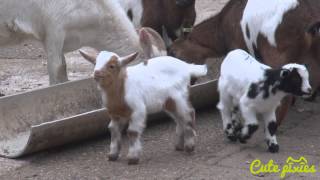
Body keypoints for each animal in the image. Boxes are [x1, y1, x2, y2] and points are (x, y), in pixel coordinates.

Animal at [80, 48, 208, 165]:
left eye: (112, 66)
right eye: (95, 63)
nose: (96, 73)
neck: (121, 87)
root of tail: (186, 66)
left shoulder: (138, 110)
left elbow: (132, 132)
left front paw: (133, 158)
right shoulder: (115, 114)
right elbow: (113, 130)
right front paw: (112, 155)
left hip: (178, 97)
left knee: (188, 114)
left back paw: (190, 146)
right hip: (169, 102)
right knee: (179, 118)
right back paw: (179, 146)